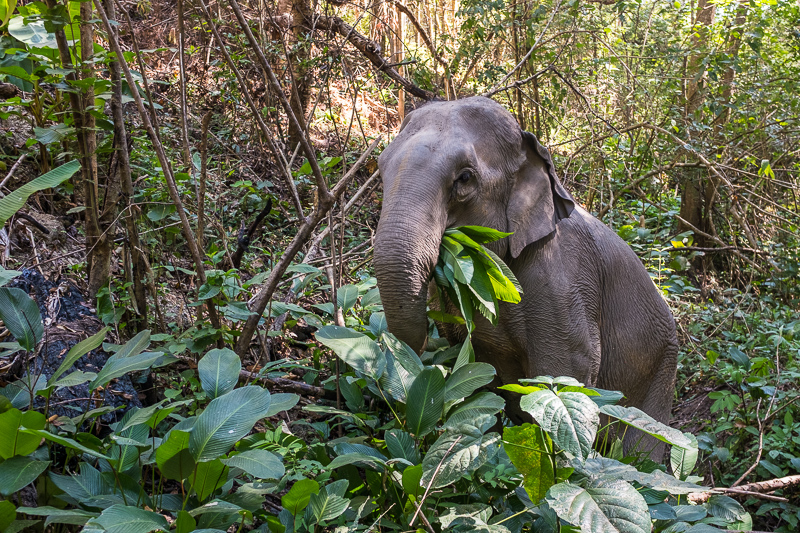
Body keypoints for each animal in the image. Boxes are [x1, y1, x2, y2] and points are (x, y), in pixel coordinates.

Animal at [372, 96, 680, 458]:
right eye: (380, 168)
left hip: (660, 374)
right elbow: (477, 380)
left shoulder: (563, 280)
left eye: (464, 178)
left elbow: (562, 375)